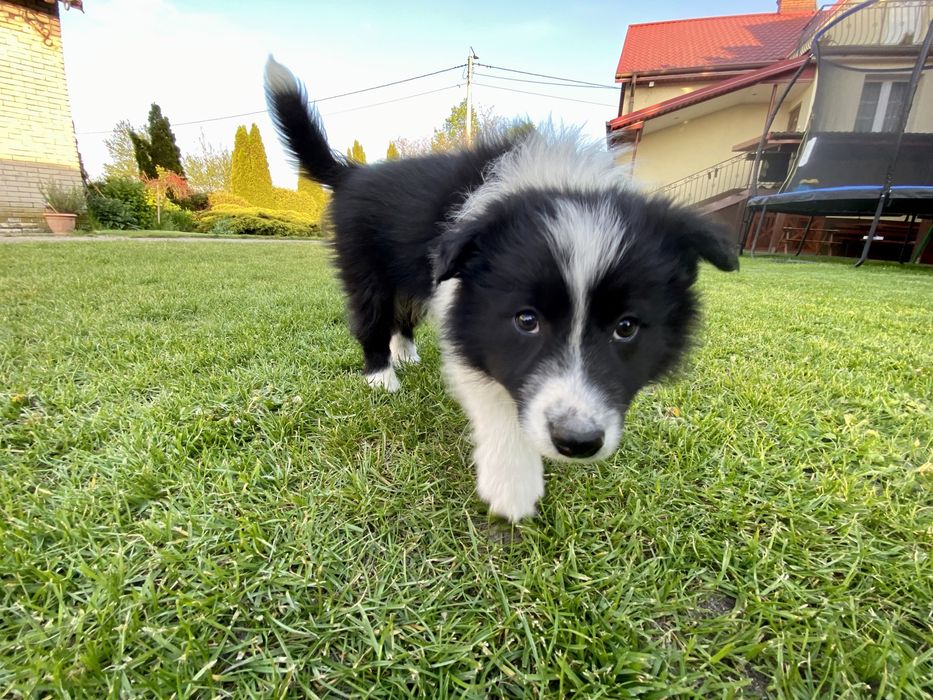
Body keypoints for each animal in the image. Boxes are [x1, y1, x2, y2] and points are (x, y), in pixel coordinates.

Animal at [262, 57, 736, 524]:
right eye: (527, 320)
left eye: (626, 327)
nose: (577, 442)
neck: (555, 180)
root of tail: (354, 173)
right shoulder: (473, 319)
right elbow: (495, 397)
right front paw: (513, 486)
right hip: (366, 267)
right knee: (372, 315)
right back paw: (382, 376)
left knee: (405, 313)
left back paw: (406, 353)